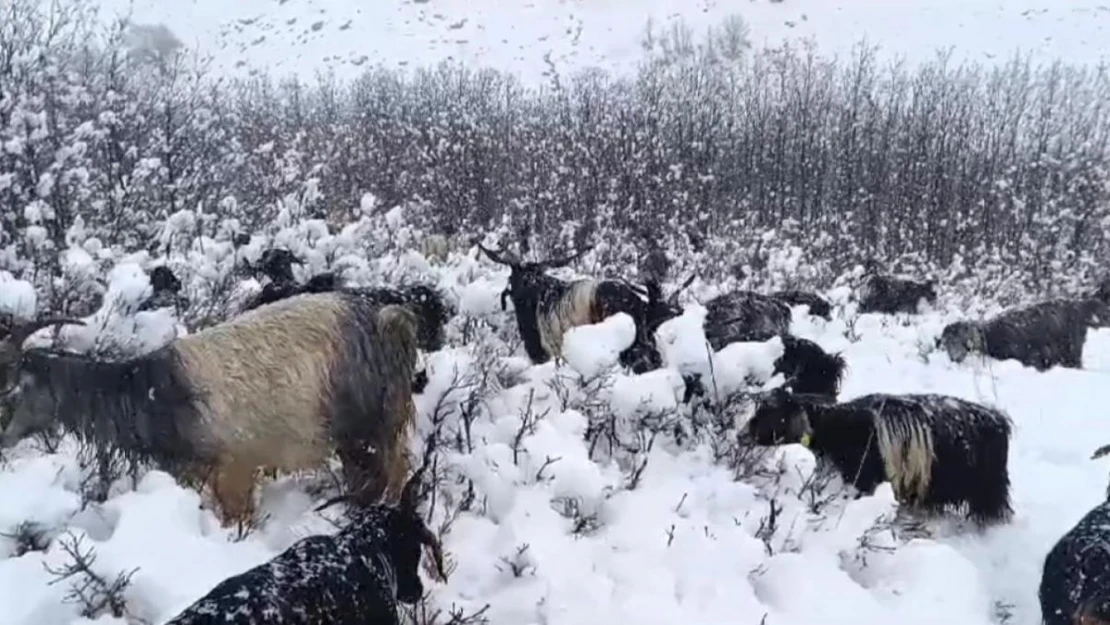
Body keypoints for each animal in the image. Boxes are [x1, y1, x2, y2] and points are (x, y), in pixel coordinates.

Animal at [0, 295, 419, 528]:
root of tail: (388, 324)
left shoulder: (233, 467)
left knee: (391, 472)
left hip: (370, 426)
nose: (4, 439)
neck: (151, 392)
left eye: (12, 391)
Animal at [745, 386, 1016, 528]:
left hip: (988, 489)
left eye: (772, 414)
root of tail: (999, 420)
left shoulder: (864, 477)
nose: (743, 434)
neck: (836, 425)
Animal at [941, 297, 1105, 370]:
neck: (990, 335)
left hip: (1070, 348)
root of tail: (1078, 306)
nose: (954, 358)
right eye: (946, 343)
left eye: (960, 339)